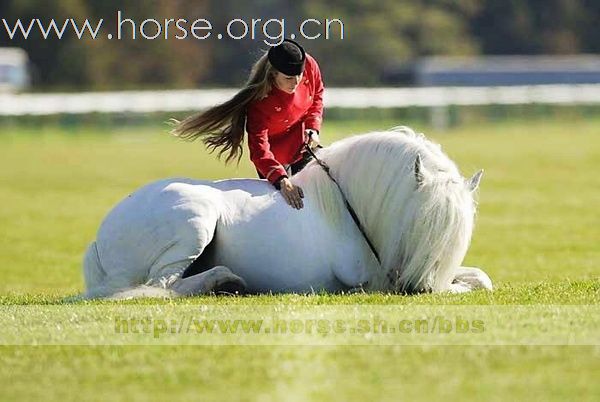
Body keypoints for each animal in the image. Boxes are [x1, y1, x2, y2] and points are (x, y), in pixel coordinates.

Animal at [83, 127, 492, 300]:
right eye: (416, 224)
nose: (419, 289)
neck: (346, 203)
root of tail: (99, 239)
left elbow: (481, 278)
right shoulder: (377, 280)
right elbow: (461, 286)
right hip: (193, 224)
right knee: (160, 286)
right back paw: (225, 281)